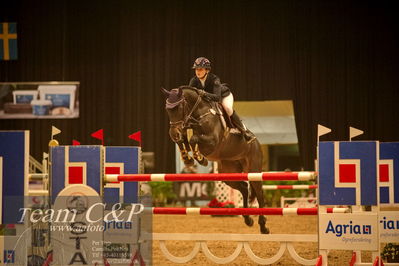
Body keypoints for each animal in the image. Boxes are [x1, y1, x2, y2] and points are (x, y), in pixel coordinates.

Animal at [161, 85, 270, 235]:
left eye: (179, 107)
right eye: (168, 110)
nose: (173, 133)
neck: (198, 114)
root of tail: (257, 143)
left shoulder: (212, 141)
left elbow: (194, 139)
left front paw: (200, 158)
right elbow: (183, 141)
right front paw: (188, 158)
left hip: (253, 169)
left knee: (259, 193)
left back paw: (263, 226)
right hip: (228, 173)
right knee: (243, 187)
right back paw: (248, 219)